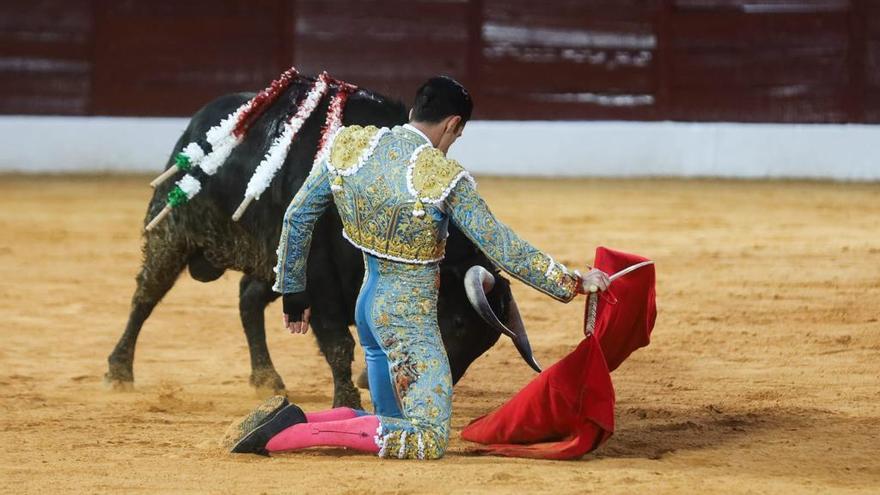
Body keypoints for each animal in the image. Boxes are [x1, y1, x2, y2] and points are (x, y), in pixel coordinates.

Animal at [108, 79, 524, 408]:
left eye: (484, 343)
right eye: (457, 323)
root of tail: (199, 122)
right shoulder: (319, 275)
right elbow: (338, 342)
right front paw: (347, 400)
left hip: (278, 259)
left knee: (248, 299)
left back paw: (266, 377)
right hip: (175, 230)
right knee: (146, 294)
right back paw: (119, 371)